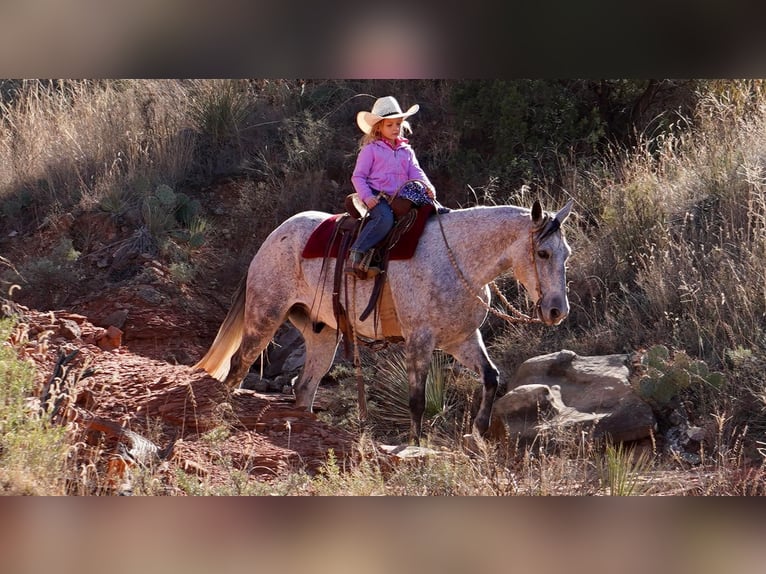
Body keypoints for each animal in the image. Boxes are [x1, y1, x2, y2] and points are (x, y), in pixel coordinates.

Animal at [195, 200, 572, 448]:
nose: (557, 310)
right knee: (239, 365)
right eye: (543, 254)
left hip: (323, 335)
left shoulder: (461, 339)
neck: (458, 260)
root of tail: (274, 237)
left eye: (566, 253)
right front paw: (416, 444)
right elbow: (417, 400)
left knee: (304, 386)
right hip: (266, 315)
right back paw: (223, 412)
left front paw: (479, 431)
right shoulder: (420, 340)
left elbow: (491, 377)